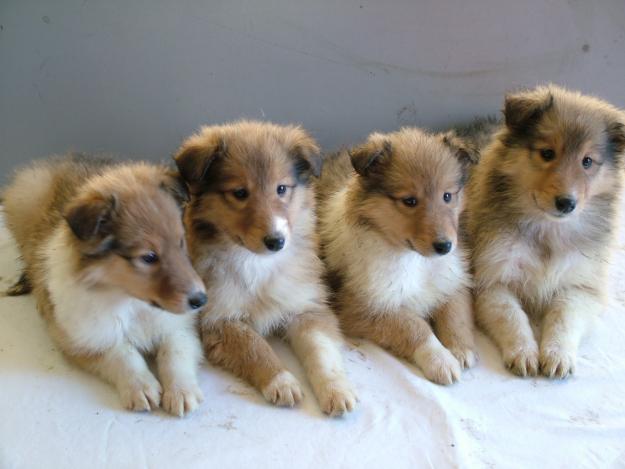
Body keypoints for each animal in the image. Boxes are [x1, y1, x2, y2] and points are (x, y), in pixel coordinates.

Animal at [3, 155, 206, 414]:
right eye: (148, 257)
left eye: (181, 242)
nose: (201, 300)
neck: (129, 301)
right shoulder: (86, 339)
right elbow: (122, 354)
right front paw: (141, 387)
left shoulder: (179, 326)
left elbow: (174, 353)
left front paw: (181, 391)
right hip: (25, 199)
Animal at [174, 120, 356, 416]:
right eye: (239, 193)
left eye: (281, 189)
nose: (276, 241)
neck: (256, 263)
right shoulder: (219, 320)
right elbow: (255, 347)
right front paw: (282, 382)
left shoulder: (306, 307)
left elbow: (321, 350)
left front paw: (337, 389)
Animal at [316, 128, 478, 384]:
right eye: (409, 201)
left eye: (447, 196)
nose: (445, 246)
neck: (414, 259)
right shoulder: (360, 307)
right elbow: (414, 325)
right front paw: (441, 360)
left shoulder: (452, 279)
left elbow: (456, 314)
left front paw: (461, 349)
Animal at [468, 84, 624, 376]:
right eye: (547, 153)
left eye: (587, 161)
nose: (566, 203)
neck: (548, 230)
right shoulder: (490, 281)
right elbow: (511, 315)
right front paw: (523, 352)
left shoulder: (582, 286)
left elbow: (563, 316)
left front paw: (557, 355)